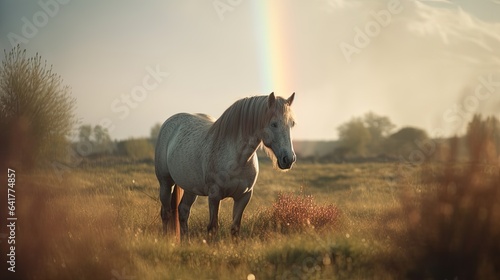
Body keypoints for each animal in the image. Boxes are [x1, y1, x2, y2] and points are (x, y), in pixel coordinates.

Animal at [155, 92, 296, 241]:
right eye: (274, 124)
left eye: (292, 124)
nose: (289, 159)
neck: (238, 160)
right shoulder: (214, 196)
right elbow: (212, 227)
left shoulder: (243, 197)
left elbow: (235, 229)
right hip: (165, 183)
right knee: (166, 213)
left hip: (190, 188)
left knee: (183, 211)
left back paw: (185, 242)